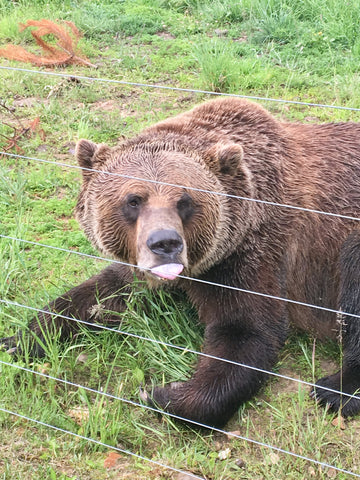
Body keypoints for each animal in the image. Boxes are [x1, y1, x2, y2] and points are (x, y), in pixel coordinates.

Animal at [0, 98, 360, 428]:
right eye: (134, 200)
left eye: (184, 200)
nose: (165, 244)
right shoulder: (140, 265)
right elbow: (100, 295)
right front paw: (20, 341)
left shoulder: (250, 253)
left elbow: (246, 331)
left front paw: (160, 393)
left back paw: (334, 390)